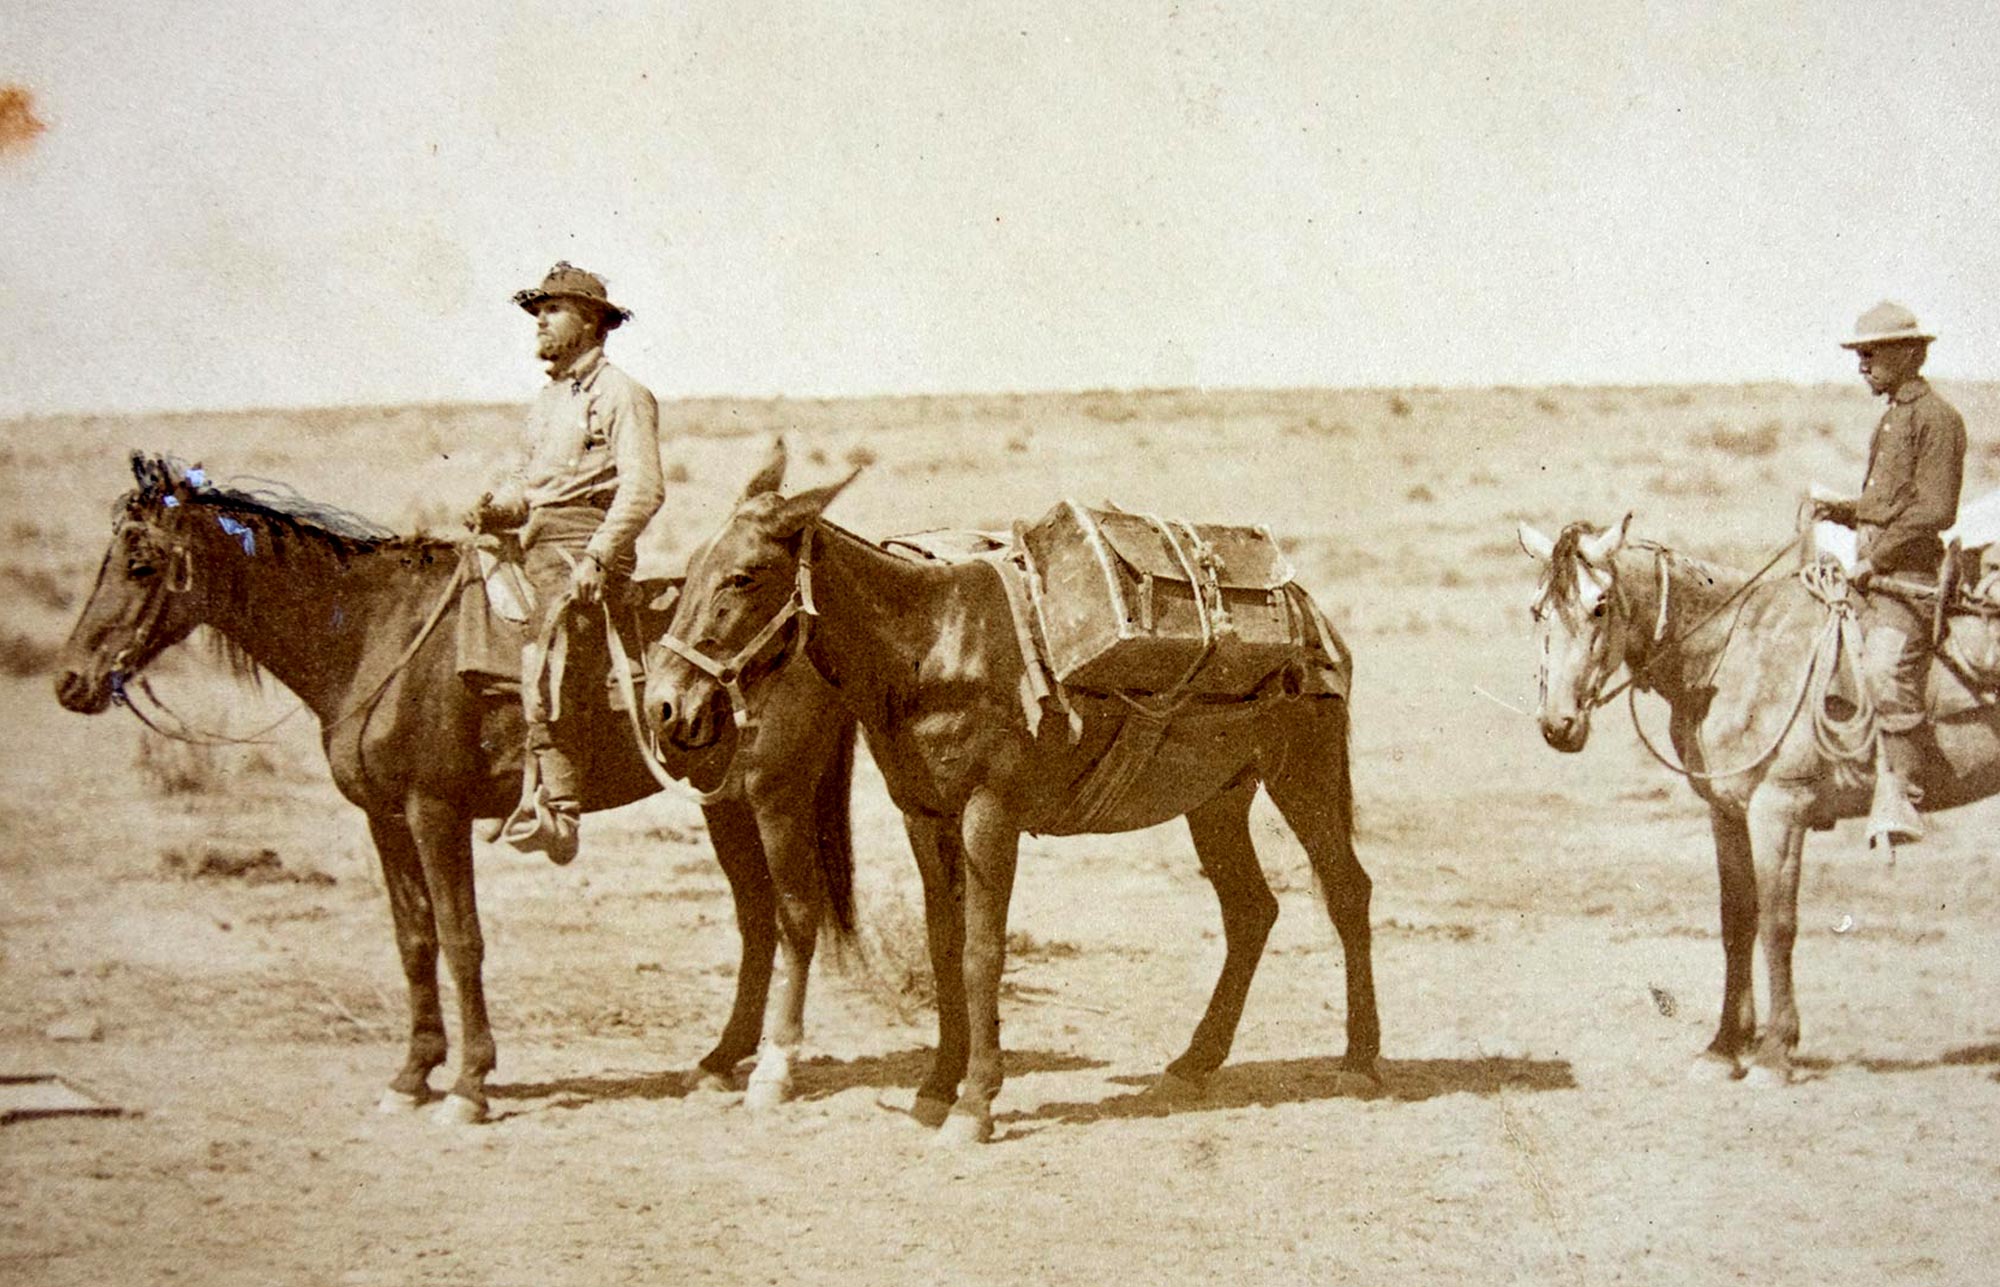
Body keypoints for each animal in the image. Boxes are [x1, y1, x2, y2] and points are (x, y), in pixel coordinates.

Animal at [56, 457, 860, 1119]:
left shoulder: (434, 811)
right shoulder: (385, 818)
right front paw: (411, 1075)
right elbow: (415, 939)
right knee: (756, 922)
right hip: (725, 804)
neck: (373, 635)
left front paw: (470, 1084)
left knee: (794, 915)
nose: (72, 680)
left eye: (139, 564)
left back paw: (770, 1071)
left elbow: (460, 936)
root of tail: (813, 631)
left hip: (775, 796)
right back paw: (719, 1061)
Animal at [648, 457, 1384, 1143]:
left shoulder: (989, 814)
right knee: (1251, 911)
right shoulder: (926, 816)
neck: (929, 648)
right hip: (1216, 795)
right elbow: (944, 947)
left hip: (1303, 771)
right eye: (690, 570)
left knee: (1347, 891)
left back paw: (1360, 1062)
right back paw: (1192, 1064)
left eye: (743, 576)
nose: (664, 704)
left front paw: (974, 1103)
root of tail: (1311, 611)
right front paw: (935, 1088)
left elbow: (982, 953)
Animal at [1512, 511, 2000, 1087]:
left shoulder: (1780, 810)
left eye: (1600, 606)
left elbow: (1777, 923)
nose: (1558, 725)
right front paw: (1725, 1046)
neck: (1733, 654)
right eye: (1537, 609)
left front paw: (1774, 1053)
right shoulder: (1726, 811)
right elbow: (1737, 921)